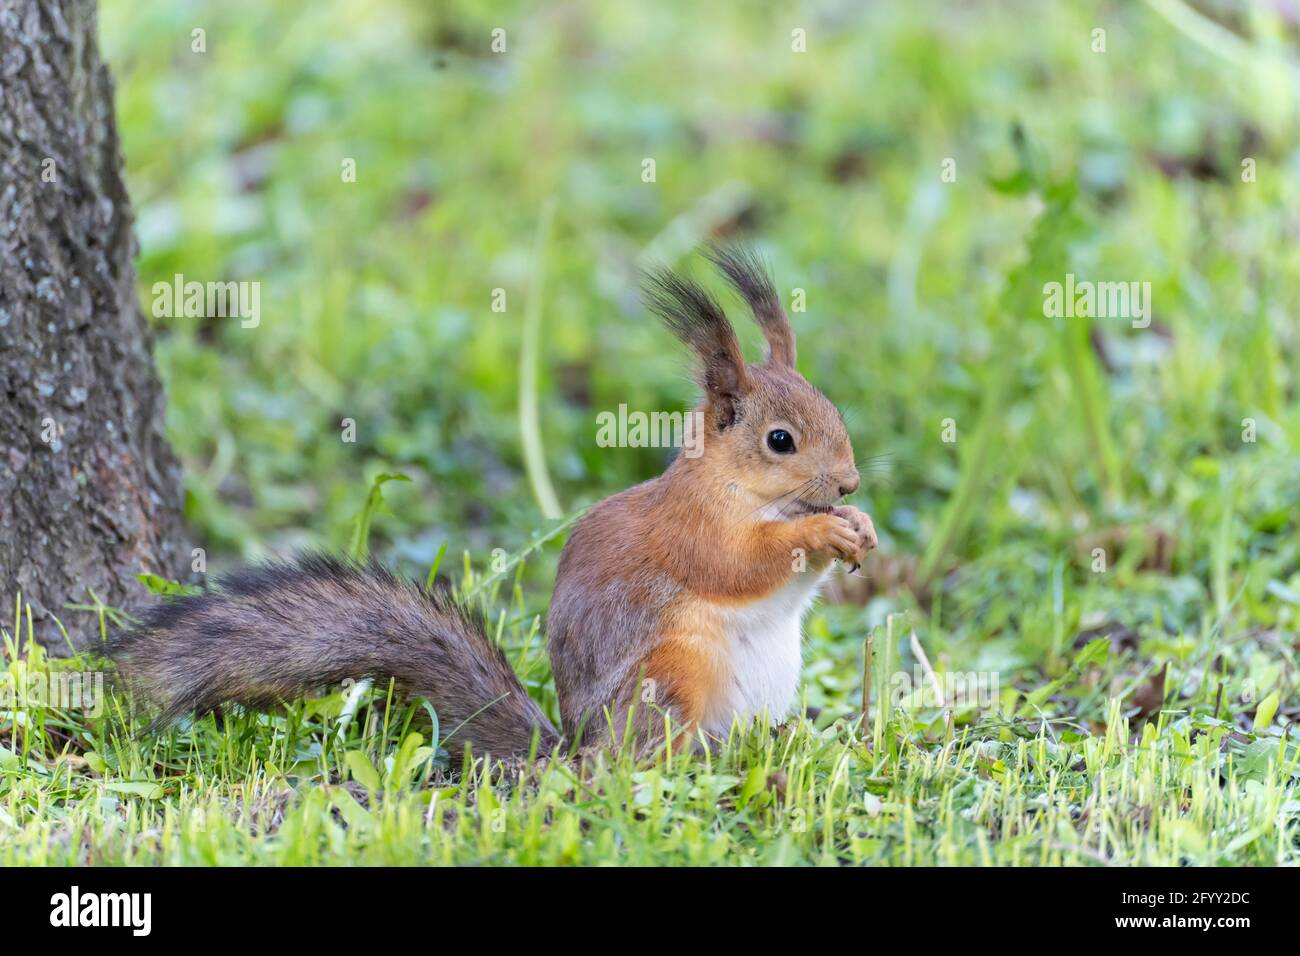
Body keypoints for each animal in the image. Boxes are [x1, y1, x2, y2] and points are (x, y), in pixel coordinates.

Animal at [109, 248, 873, 764]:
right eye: (780, 440)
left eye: (835, 409)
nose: (850, 485)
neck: (742, 489)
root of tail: (574, 752)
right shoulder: (694, 527)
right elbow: (739, 563)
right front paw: (823, 533)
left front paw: (856, 529)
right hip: (673, 675)